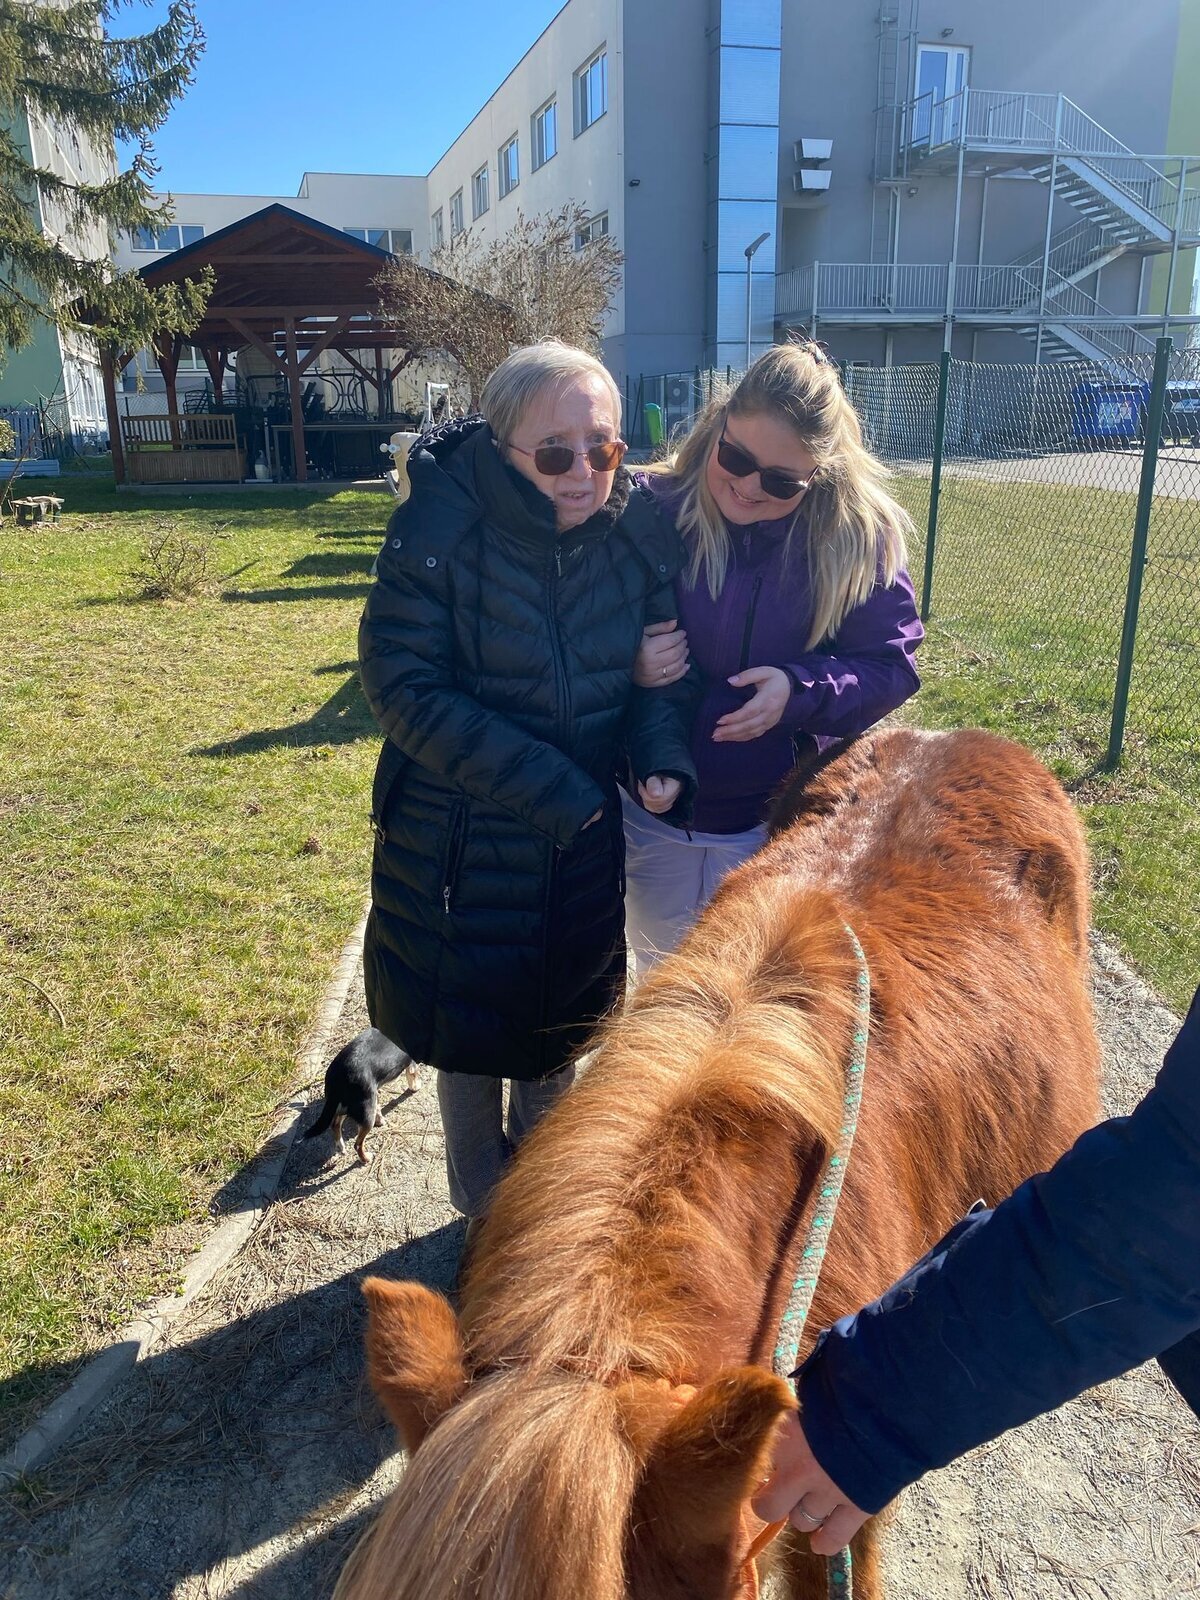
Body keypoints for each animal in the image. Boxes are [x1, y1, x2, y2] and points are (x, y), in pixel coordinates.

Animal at [304, 1028, 418, 1164]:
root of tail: (339, 1076)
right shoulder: (412, 1064)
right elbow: (413, 1075)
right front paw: (415, 1087)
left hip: (344, 1106)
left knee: (335, 1124)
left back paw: (341, 1147)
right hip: (366, 1113)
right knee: (357, 1144)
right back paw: (366, 1158)